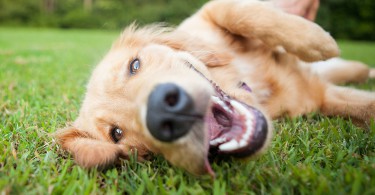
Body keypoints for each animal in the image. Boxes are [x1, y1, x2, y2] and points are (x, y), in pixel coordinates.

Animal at [55, 0, 375, 176]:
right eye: (117, 134)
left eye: (134, 65)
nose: (164, 112)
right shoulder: (318, 97)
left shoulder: (208, 14)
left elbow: (238, 11)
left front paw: (316, 40)